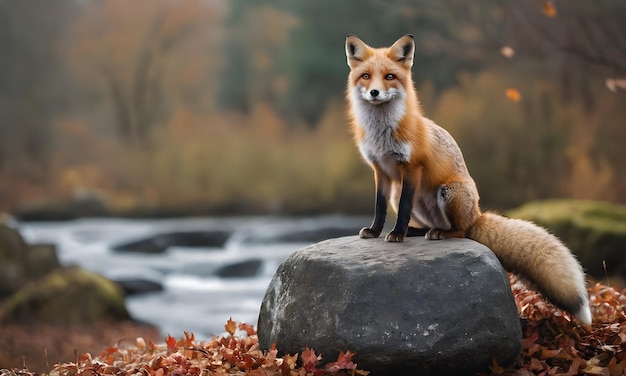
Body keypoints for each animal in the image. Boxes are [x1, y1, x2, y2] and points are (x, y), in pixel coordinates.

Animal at [342, 33, 588, 324]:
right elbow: (379, 208)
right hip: (410, 195)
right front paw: (376, 231)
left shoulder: (411, 167)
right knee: (433, 224)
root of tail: (478, 215)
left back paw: (438, 233)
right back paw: (420, 231)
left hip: (449, 192)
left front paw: (398, 233)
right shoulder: (381, 170)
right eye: (366, 76)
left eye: (390, 77)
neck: (382, 133)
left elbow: (402, 209)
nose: (374, 93)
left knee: (460, 232)